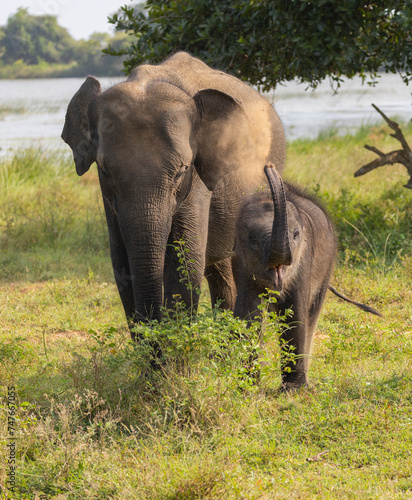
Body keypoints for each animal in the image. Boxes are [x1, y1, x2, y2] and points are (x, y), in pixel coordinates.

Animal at [61, 52, 284, 330]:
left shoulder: (197, 181)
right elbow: (121, 261)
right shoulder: (108, 198)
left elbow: (185, 262)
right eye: (105, 171)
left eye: (181, 170)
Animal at [235, 164, 380, 390]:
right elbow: (249, 314)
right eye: (252, 238)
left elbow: (295, 313)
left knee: (312, 313)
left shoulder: (305, 260)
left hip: (328, 264)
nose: (269, 166)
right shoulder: (241, 263)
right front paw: (247, 387)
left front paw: (292, 390)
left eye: (296, 235)